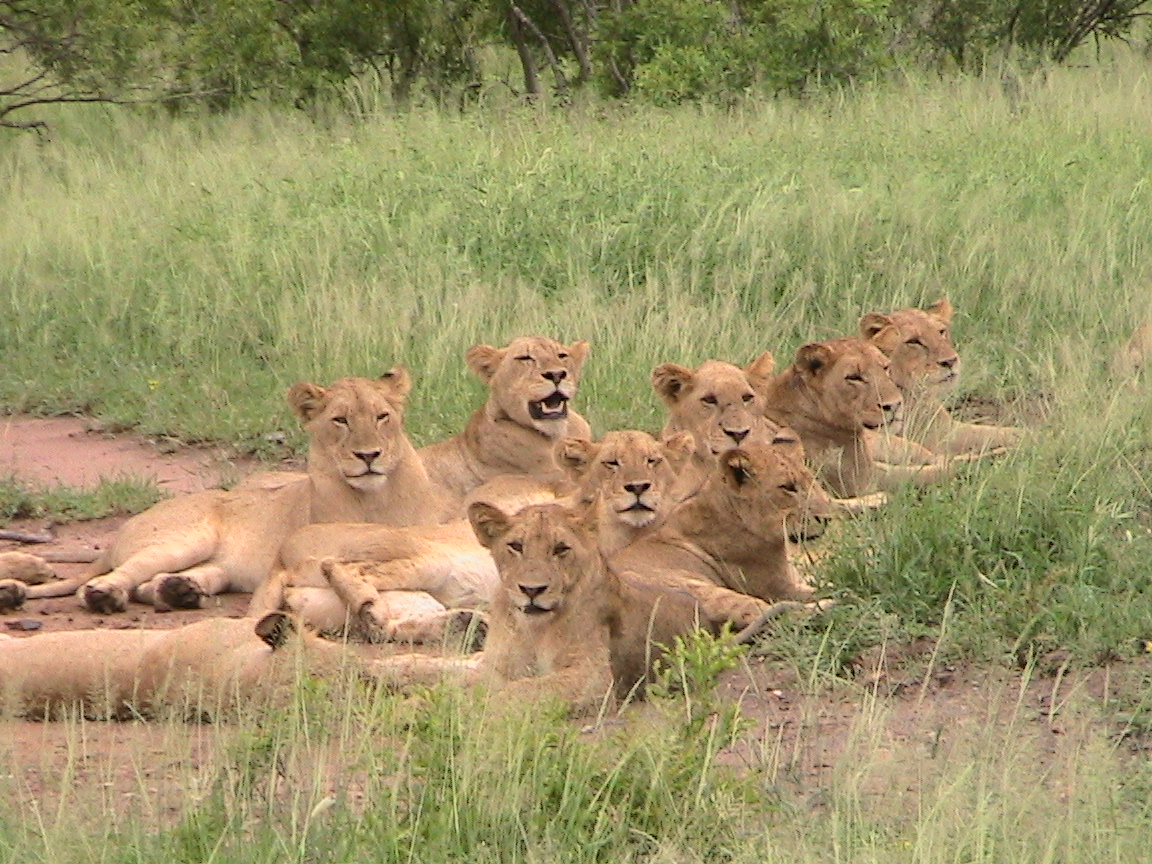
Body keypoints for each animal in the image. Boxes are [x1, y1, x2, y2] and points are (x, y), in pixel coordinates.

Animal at [0, 370, 453, 615]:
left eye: (382, 417)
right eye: (340, 420)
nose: (368, 455)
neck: (375, 497)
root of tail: (116, 537)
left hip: (217, 567)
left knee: (161, 582)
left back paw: (179, 592)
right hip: (182, 539)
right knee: (106, 580)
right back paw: (106, 596)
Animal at [352, 501, 806, 715]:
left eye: (560, 549)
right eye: (515, 546)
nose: (532, 590)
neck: (532, 628)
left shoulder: (591, 680)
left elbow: (515, 690)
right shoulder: (497, 665)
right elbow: (466, 678)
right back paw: (381, 668)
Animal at [860, 298, 1023, 456]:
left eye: (941, 332)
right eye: (913, 341)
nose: (950, 361)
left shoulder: (948, 428)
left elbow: (1002, 432)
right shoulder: (936, 437)